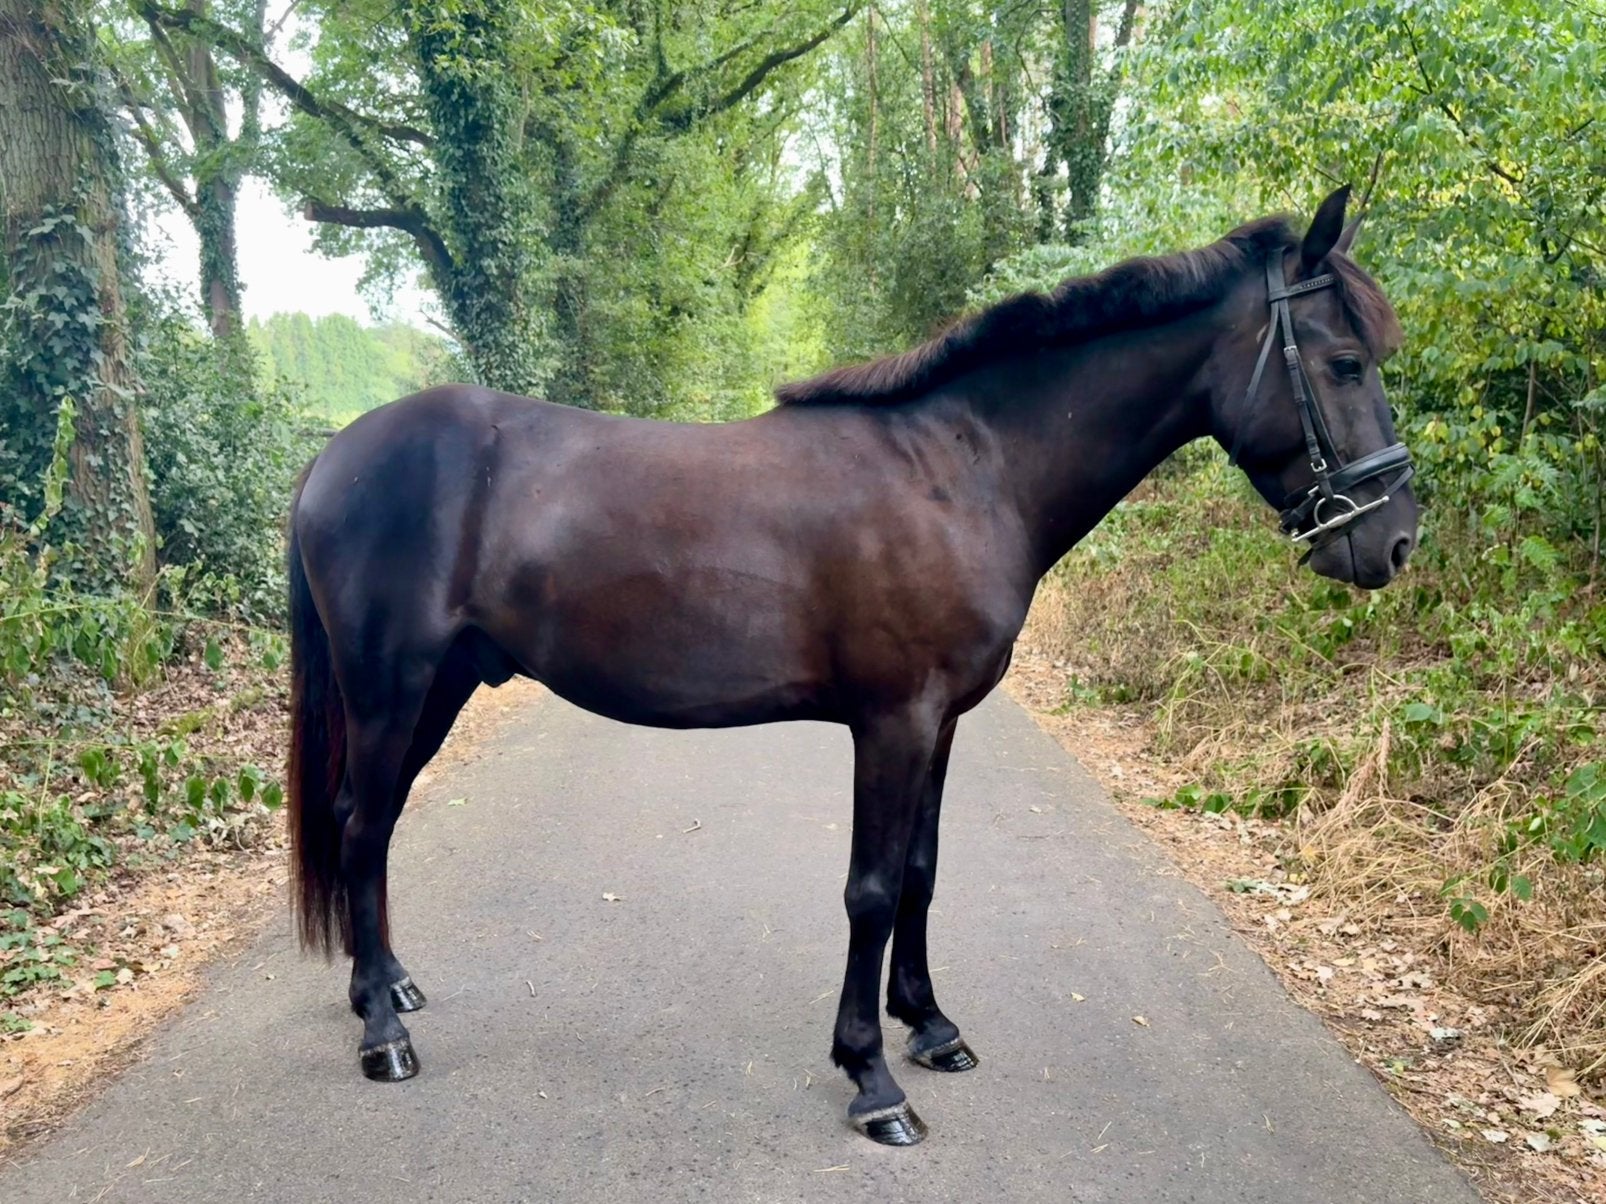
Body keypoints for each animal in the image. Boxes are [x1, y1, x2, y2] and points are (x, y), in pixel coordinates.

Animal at [285, 185, 1417, 1146]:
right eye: (1343, 363)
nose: (1393, 539)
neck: (963, 471)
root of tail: (334, 454)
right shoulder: (893, 719)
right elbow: (870, 889)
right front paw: (872, 1079)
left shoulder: (943, 721)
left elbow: (920, 870)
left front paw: (931, 1025)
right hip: (391, 689)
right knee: (363, 824)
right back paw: (384, 1034)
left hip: (439, 688)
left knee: (365, 824)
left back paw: (384, 988)